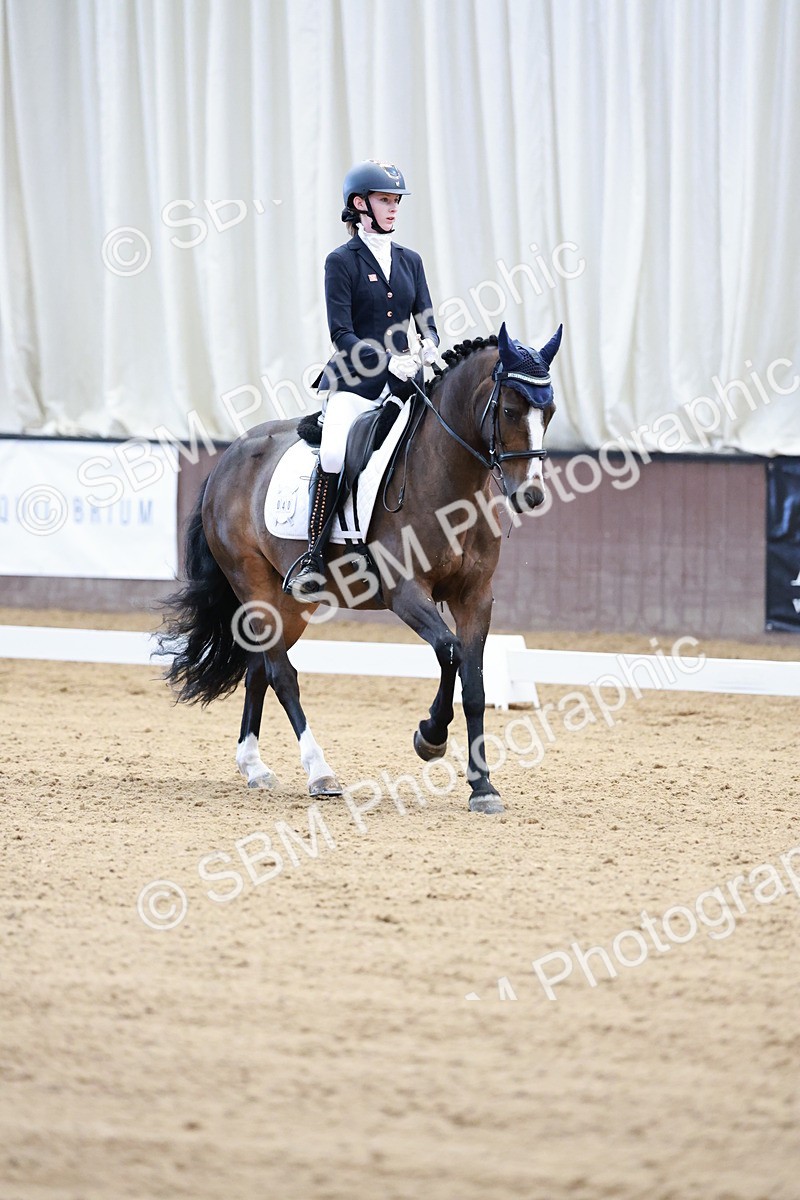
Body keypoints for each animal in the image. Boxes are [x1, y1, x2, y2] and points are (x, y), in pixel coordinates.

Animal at [160, 322, 561, 814]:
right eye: (508, 409)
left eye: (550, 412)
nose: (532, 495)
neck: (447, 476)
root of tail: (227, 458)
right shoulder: (405, 592)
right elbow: (449, 652)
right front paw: (430, 737)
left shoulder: (475, 597)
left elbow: (475, 683)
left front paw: (483, 786)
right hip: (251, 581)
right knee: (281, 674)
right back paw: (320, 773)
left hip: (289, 602)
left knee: (260, 668)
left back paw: (254, 767)